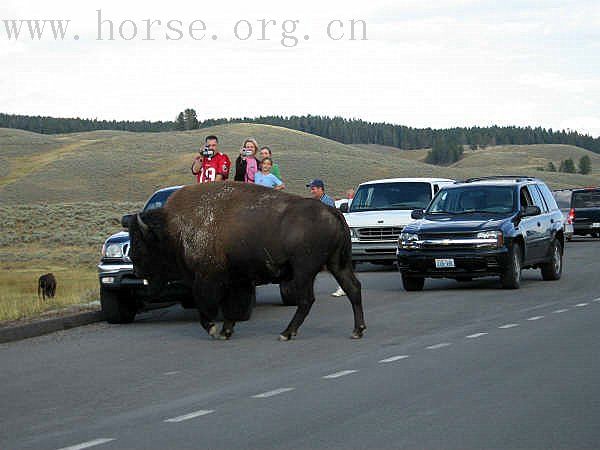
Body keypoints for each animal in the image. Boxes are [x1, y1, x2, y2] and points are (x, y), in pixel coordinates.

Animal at [129, 181, 366, 340]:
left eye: (140, 243)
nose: (136, 268)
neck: (174, 229)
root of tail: (333, 212)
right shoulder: (236, 279)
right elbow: (232, 306)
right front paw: (226, 331)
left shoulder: (206, 278)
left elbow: (206, 305)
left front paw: (214, 329)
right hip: (338, 264)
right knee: (353, 288)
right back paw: (357, 330)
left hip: (304, 271)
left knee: (307, 300)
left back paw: (286, 333)